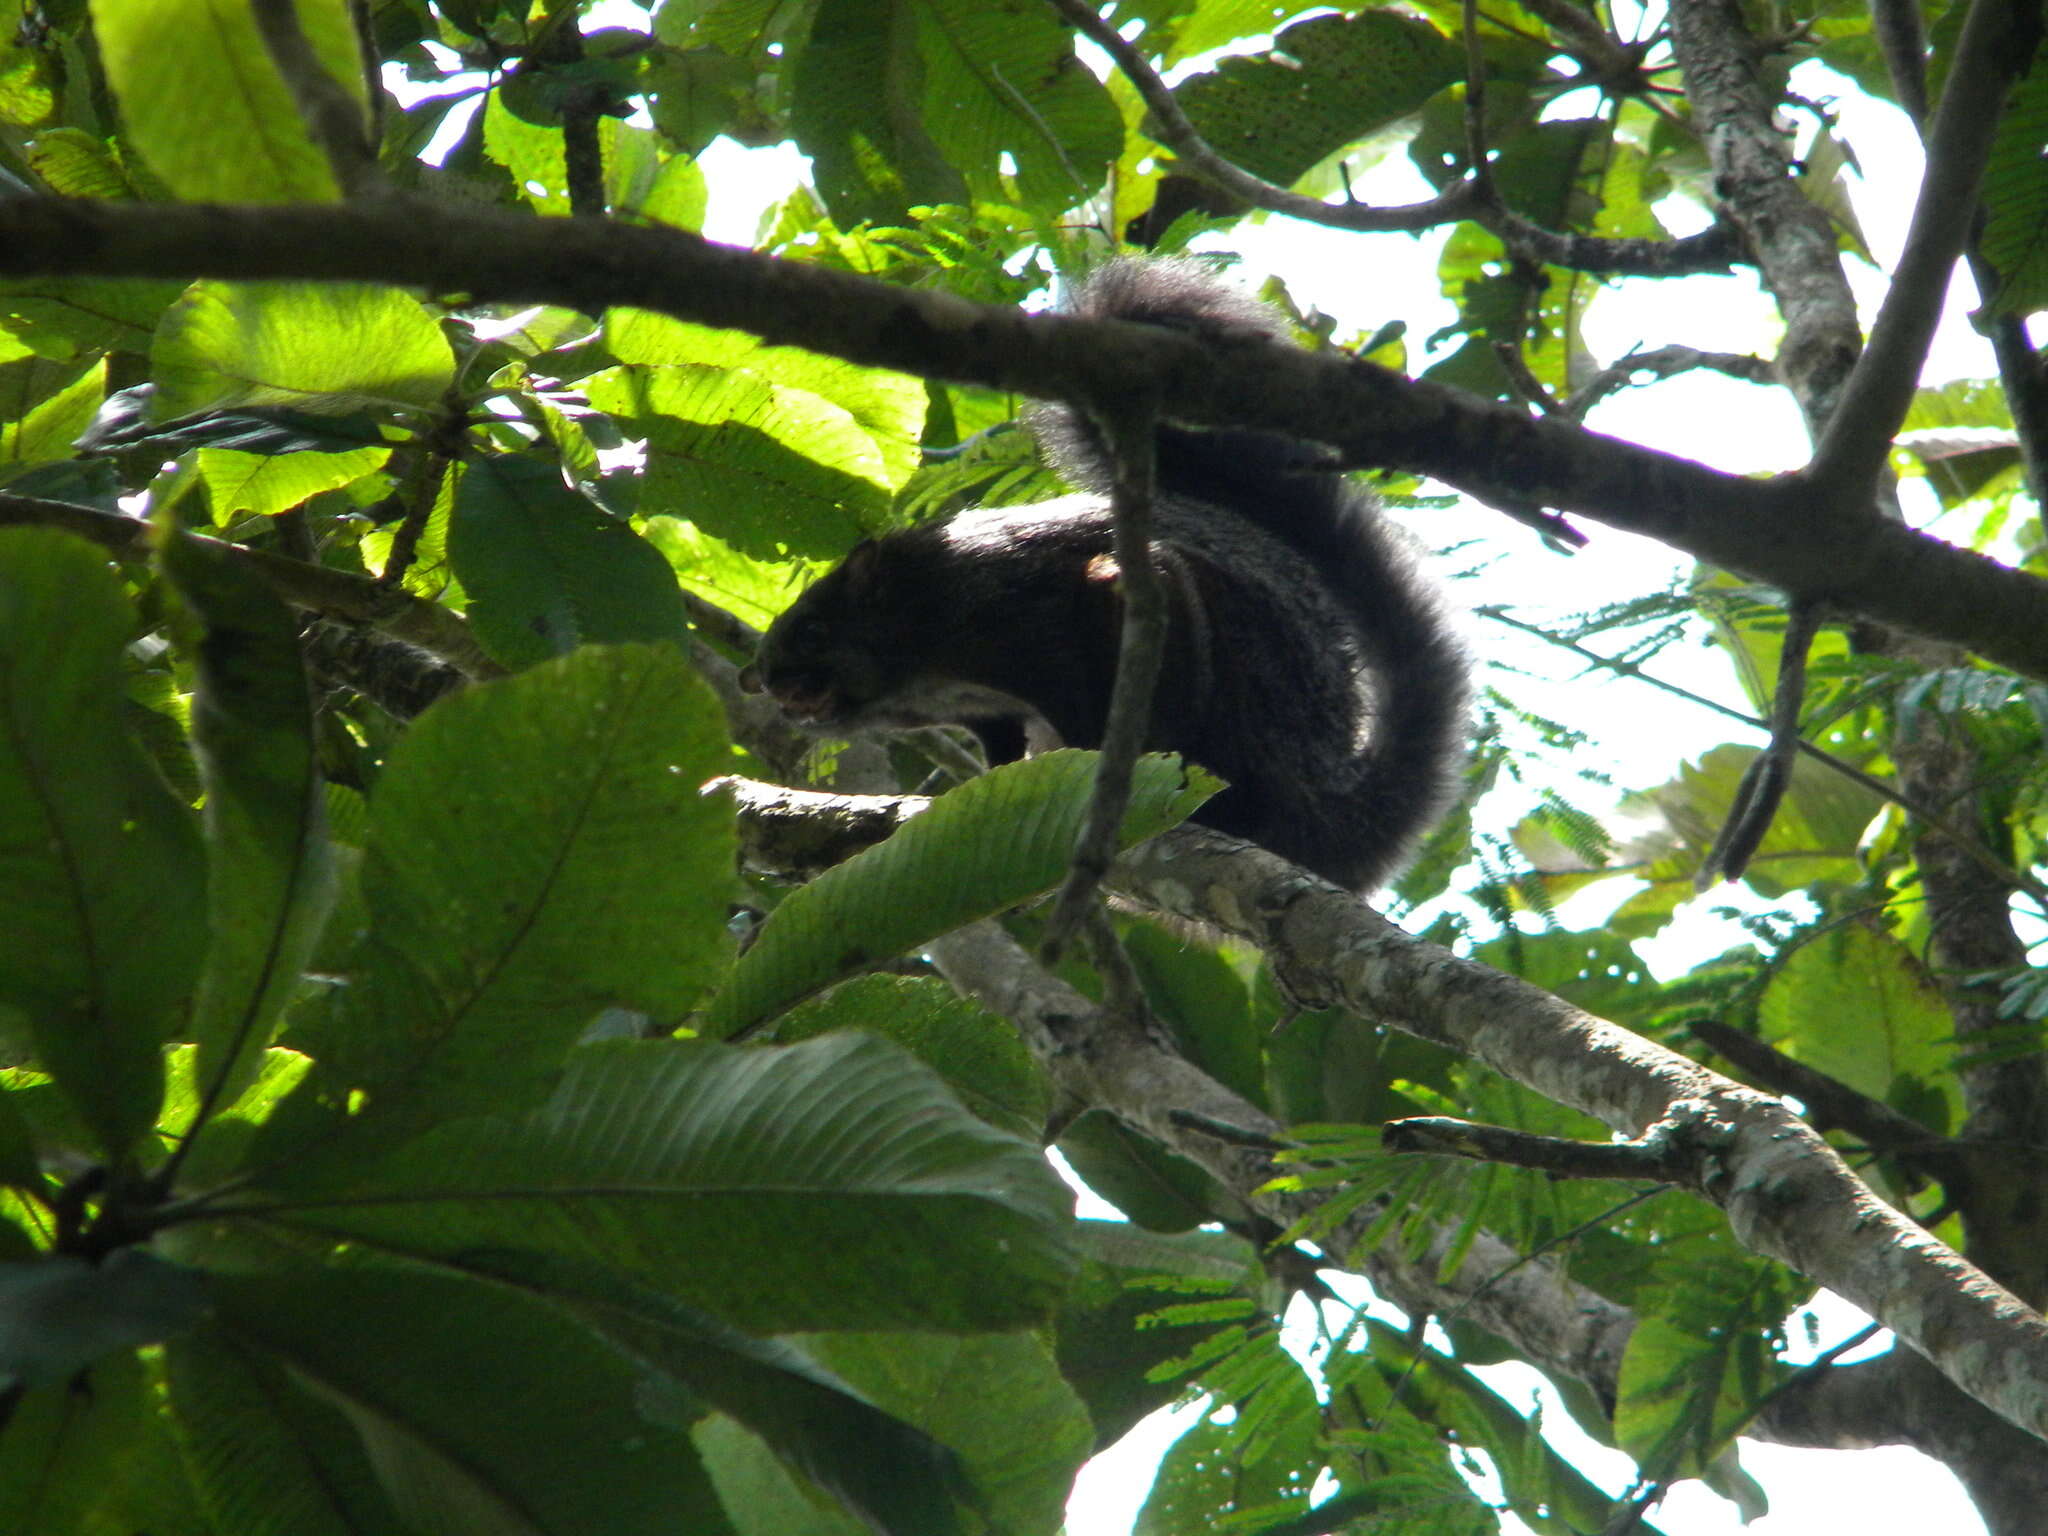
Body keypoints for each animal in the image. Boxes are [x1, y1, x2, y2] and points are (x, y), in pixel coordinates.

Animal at [737, 259, 1474, 897]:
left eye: (813, 630)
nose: (762, 679)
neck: (925, 648)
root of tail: (1319, 791)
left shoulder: (1023, 623)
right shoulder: (988, 708)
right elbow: (999, 743)